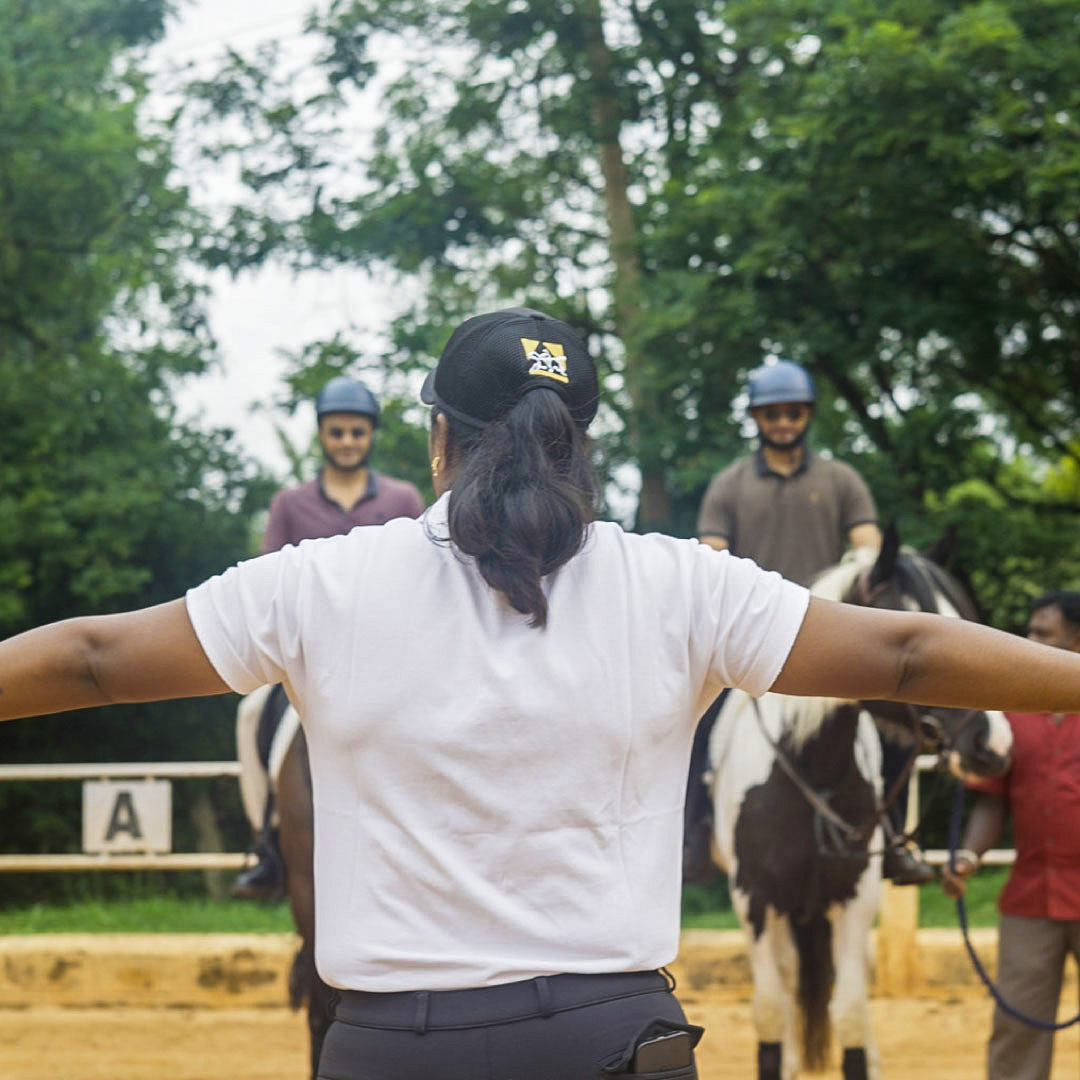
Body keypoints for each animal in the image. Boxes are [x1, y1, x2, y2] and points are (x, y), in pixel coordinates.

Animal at [708, 531, 1010, 1080]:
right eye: (908, 624)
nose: (993, 745)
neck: (812, 770)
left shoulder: (855, 897)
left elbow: (849, 1013)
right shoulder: (753, 899)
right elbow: (769, 1012)